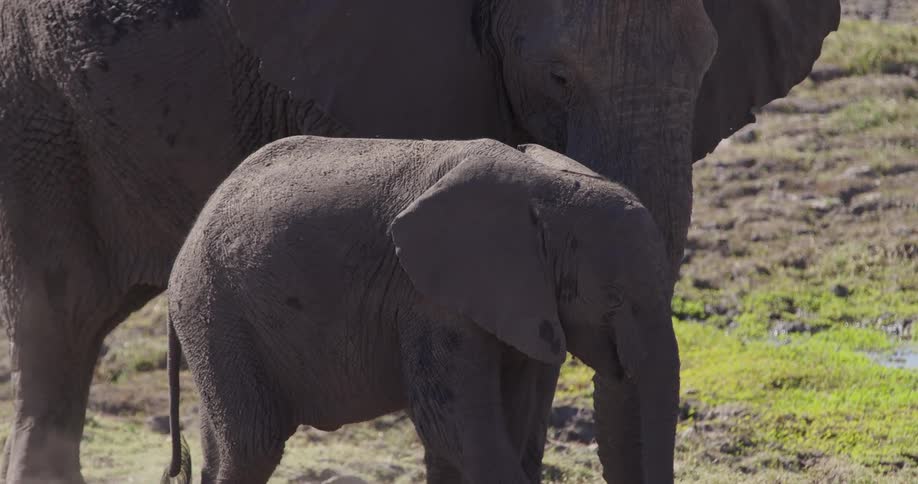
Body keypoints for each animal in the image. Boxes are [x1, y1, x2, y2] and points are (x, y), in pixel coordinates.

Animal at [161, 136, 678, 483]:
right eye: (613, 299)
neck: (545, 188)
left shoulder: (523, 301)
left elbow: (510, 423)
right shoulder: (427, 299)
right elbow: (456, 428)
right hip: (217, 309)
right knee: (253, 445)